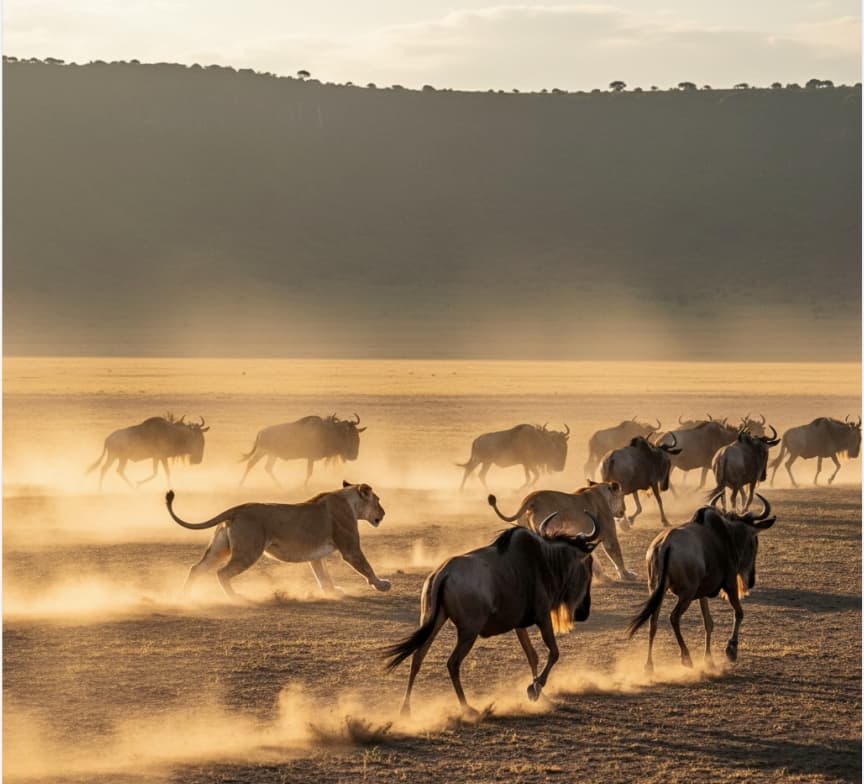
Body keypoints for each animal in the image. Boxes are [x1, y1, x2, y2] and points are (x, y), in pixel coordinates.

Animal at [165, 481, 391, 598]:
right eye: (378, 500)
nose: (384, 513)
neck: (349, 501)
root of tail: (237, 508)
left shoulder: (316, 555)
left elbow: (322, 574)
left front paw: (332, 590)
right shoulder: (351, 549)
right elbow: (367, 567)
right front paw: (381, 584)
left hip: (219, 549)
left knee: (196, 568)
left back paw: (185, 597)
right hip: (249, 551)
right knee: (221, 573)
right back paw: (235, 597)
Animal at [488, 479, 637, 581]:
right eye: (623, 496)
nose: (624, 509)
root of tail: (531, 498)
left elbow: (593, 558)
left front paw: (603, 578)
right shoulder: (609, 535)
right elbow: (617, 555)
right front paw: (627, 575)